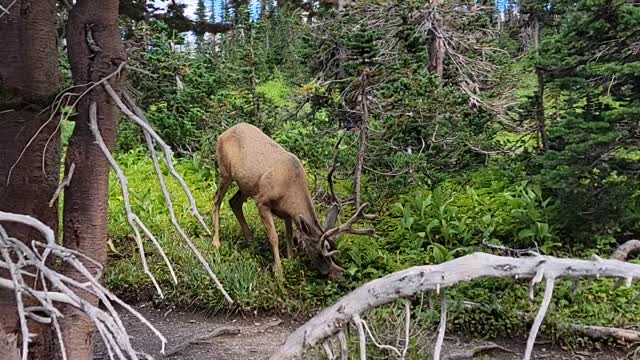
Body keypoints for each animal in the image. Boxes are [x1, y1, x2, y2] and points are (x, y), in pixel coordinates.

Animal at [211, 122, 370, 280]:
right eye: (318, 252)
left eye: (333, 251)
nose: (338, 274)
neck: (290, 187)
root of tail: (222, 135)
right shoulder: (262, 202)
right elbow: (274, 237)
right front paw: (279, 273)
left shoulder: (287, 212)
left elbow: (288, 235)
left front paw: (290, 259)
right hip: (225, 172)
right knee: (216, 200)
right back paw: (216, 242)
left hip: (246, 186)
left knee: (233, 202)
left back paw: (250, 240)